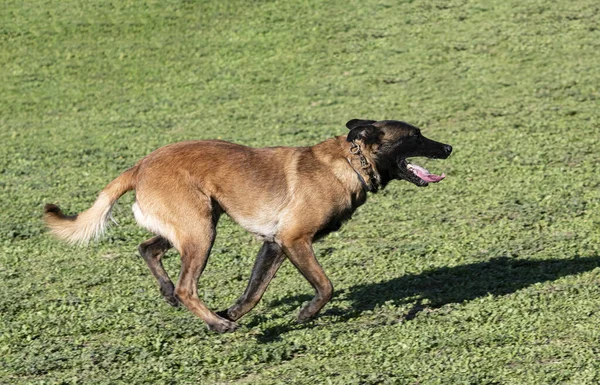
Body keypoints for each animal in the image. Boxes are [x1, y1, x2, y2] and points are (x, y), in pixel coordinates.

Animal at [44, 118, 452, 332]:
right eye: (415, 136)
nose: (448, 147)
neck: (350, 164)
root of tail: (140, 165)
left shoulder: (274, 244)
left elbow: (253, 292)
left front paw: (232, 311)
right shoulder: (294, 240)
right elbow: (325, 287)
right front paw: (305, 314)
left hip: (194, 224)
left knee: (147, 249)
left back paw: (175, 297)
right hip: (201, 232)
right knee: (187, 286)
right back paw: (216, 323)